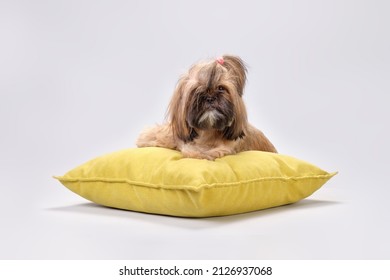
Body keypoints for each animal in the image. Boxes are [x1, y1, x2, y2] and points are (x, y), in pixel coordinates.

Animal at [137, 54, 278, 160]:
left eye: (221, 88)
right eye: (196, 90)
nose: (210, 97)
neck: (207, 131)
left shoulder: (220, 150)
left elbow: (192, 150)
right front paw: (148, 137)